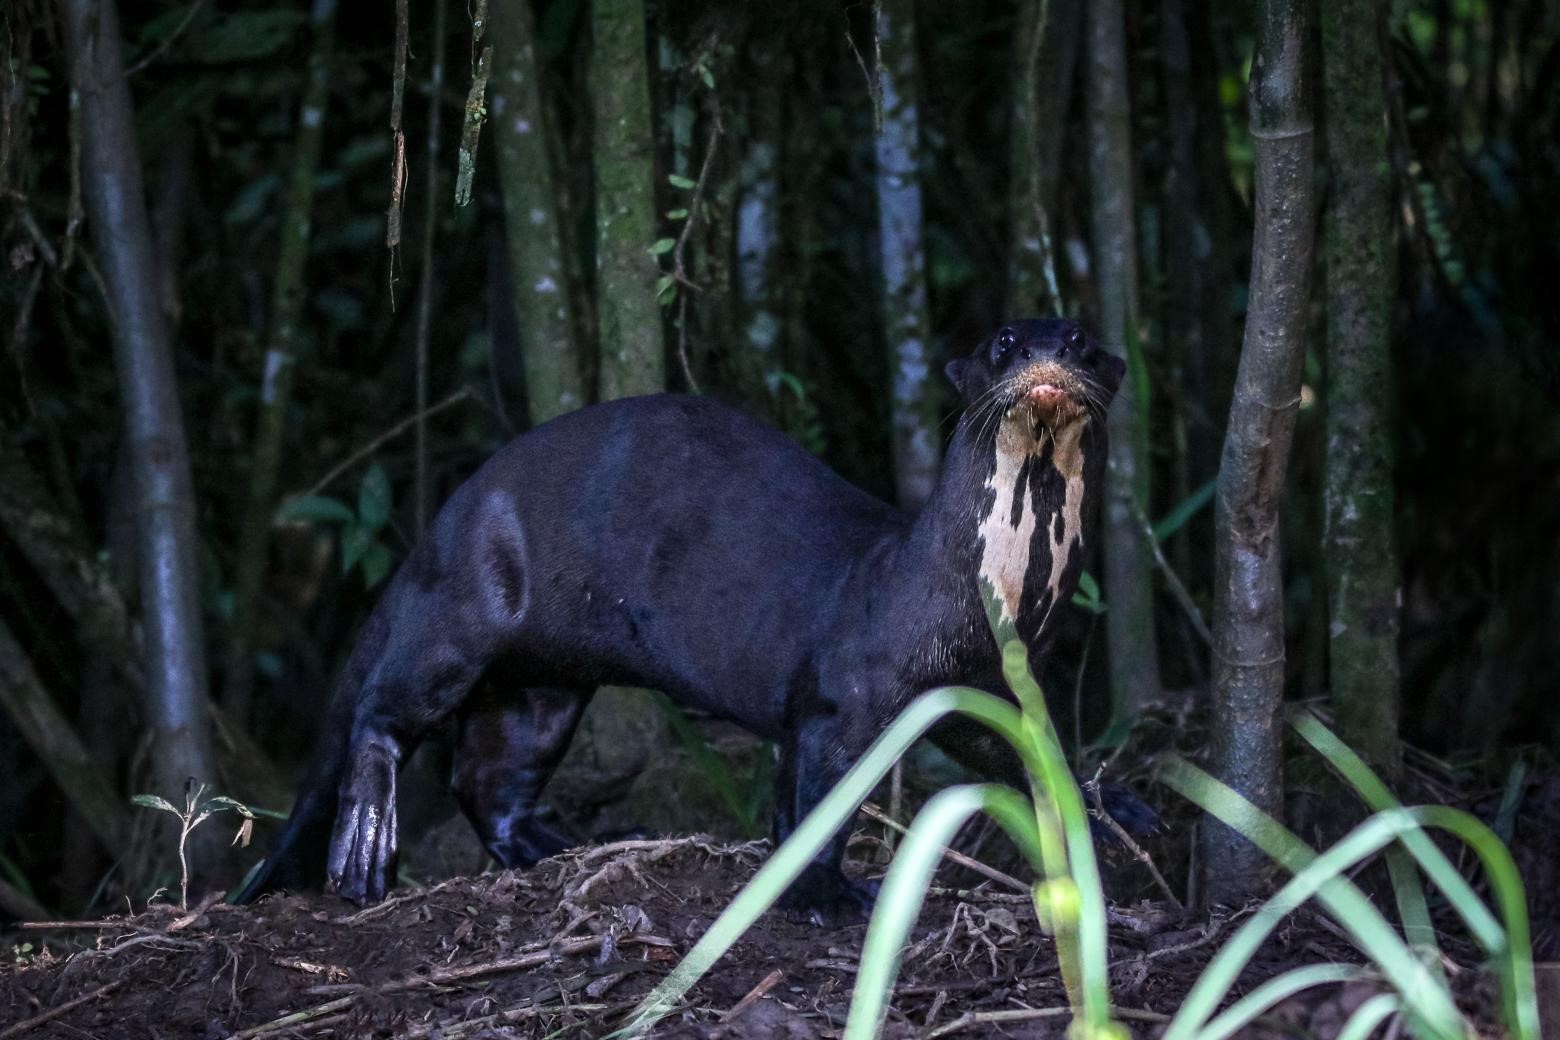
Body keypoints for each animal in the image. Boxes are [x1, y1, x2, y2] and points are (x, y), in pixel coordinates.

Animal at [230, 314, 1129, 910]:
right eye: (1005, 344)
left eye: (1083, 343)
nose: (1047, 356)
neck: (977, 600)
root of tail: (444, 519)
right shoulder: (840, 695)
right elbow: (818, 797)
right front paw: (824, 891)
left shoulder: (990, 684)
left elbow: (1032, 755)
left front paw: (1112, 810)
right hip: (466, 610)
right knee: (383, 710)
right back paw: (364, 854)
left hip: (541, 685)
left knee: (486, 775)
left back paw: (563, 845)